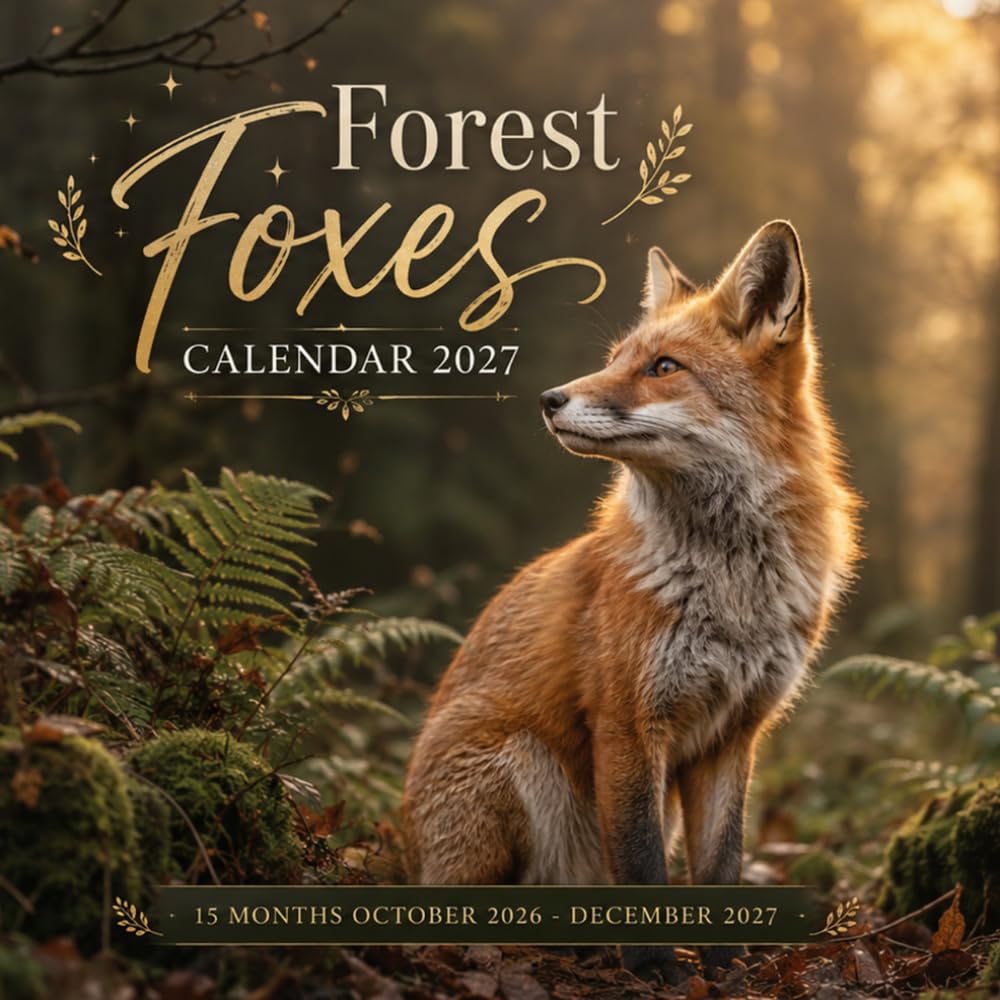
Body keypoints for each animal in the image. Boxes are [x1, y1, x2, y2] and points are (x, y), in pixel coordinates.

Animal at [401, 220, 860, 981]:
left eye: (663, 367)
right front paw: (653, 966)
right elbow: (642, 860)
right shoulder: (626, 721)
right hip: (519, 761)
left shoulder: (735, 735)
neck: (730, 585)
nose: (549, 398)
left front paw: (725, 965)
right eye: (615, 360)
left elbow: (721, 865)